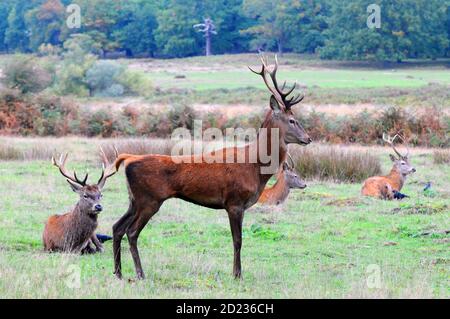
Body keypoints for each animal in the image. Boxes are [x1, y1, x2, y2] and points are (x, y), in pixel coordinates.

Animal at [110, 55, 312, 280]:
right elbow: (238, 241)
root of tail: (128, 159)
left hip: (134, 199)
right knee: (132, 232)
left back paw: (118, 272)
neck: (256, 168)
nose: (308, 138)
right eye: (292, 120)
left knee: (117, 227)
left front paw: (236, 273)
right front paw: (237, 275)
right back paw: (140, 273)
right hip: (150, 199)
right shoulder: (234, 201)